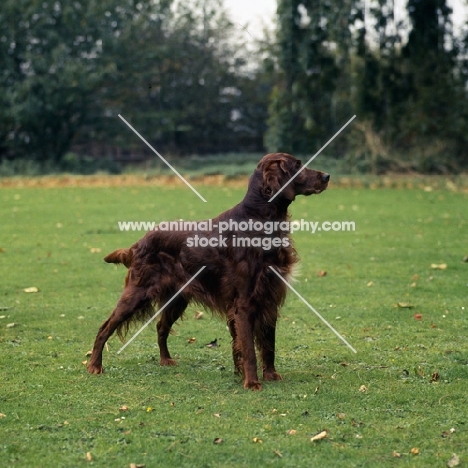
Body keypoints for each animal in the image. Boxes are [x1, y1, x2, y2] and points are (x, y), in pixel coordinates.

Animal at [88, 152, 330, 390]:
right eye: (298, 165)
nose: (327, 176)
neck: (259, 219)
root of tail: (139, 242)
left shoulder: (269, 297)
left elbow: (268, 342)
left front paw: (270, 374)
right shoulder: (244, 303)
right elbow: (249, 349)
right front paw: (252, 382)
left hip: (177, 299)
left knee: (160, 327)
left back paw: (165, 360)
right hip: (137, 293)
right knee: (105, 327)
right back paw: (94, 365)